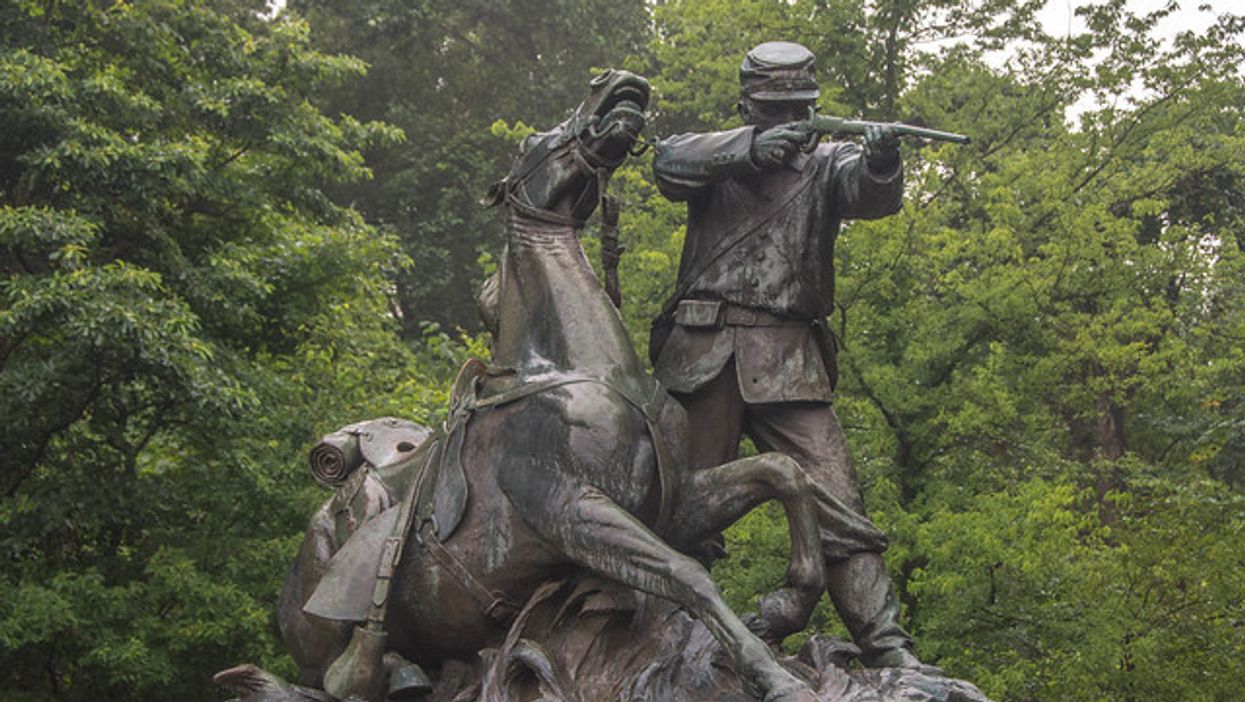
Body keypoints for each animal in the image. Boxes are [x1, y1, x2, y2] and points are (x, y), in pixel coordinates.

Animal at [272, 70, 826, 702]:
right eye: (531, 140)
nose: (616, 82)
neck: (572, 368)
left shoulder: (675, 502)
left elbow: (783, 473)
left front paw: (788, 604)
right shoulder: (572, 510)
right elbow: (688, 574)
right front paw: (776, 676)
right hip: (326, 619)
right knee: (329, 677)